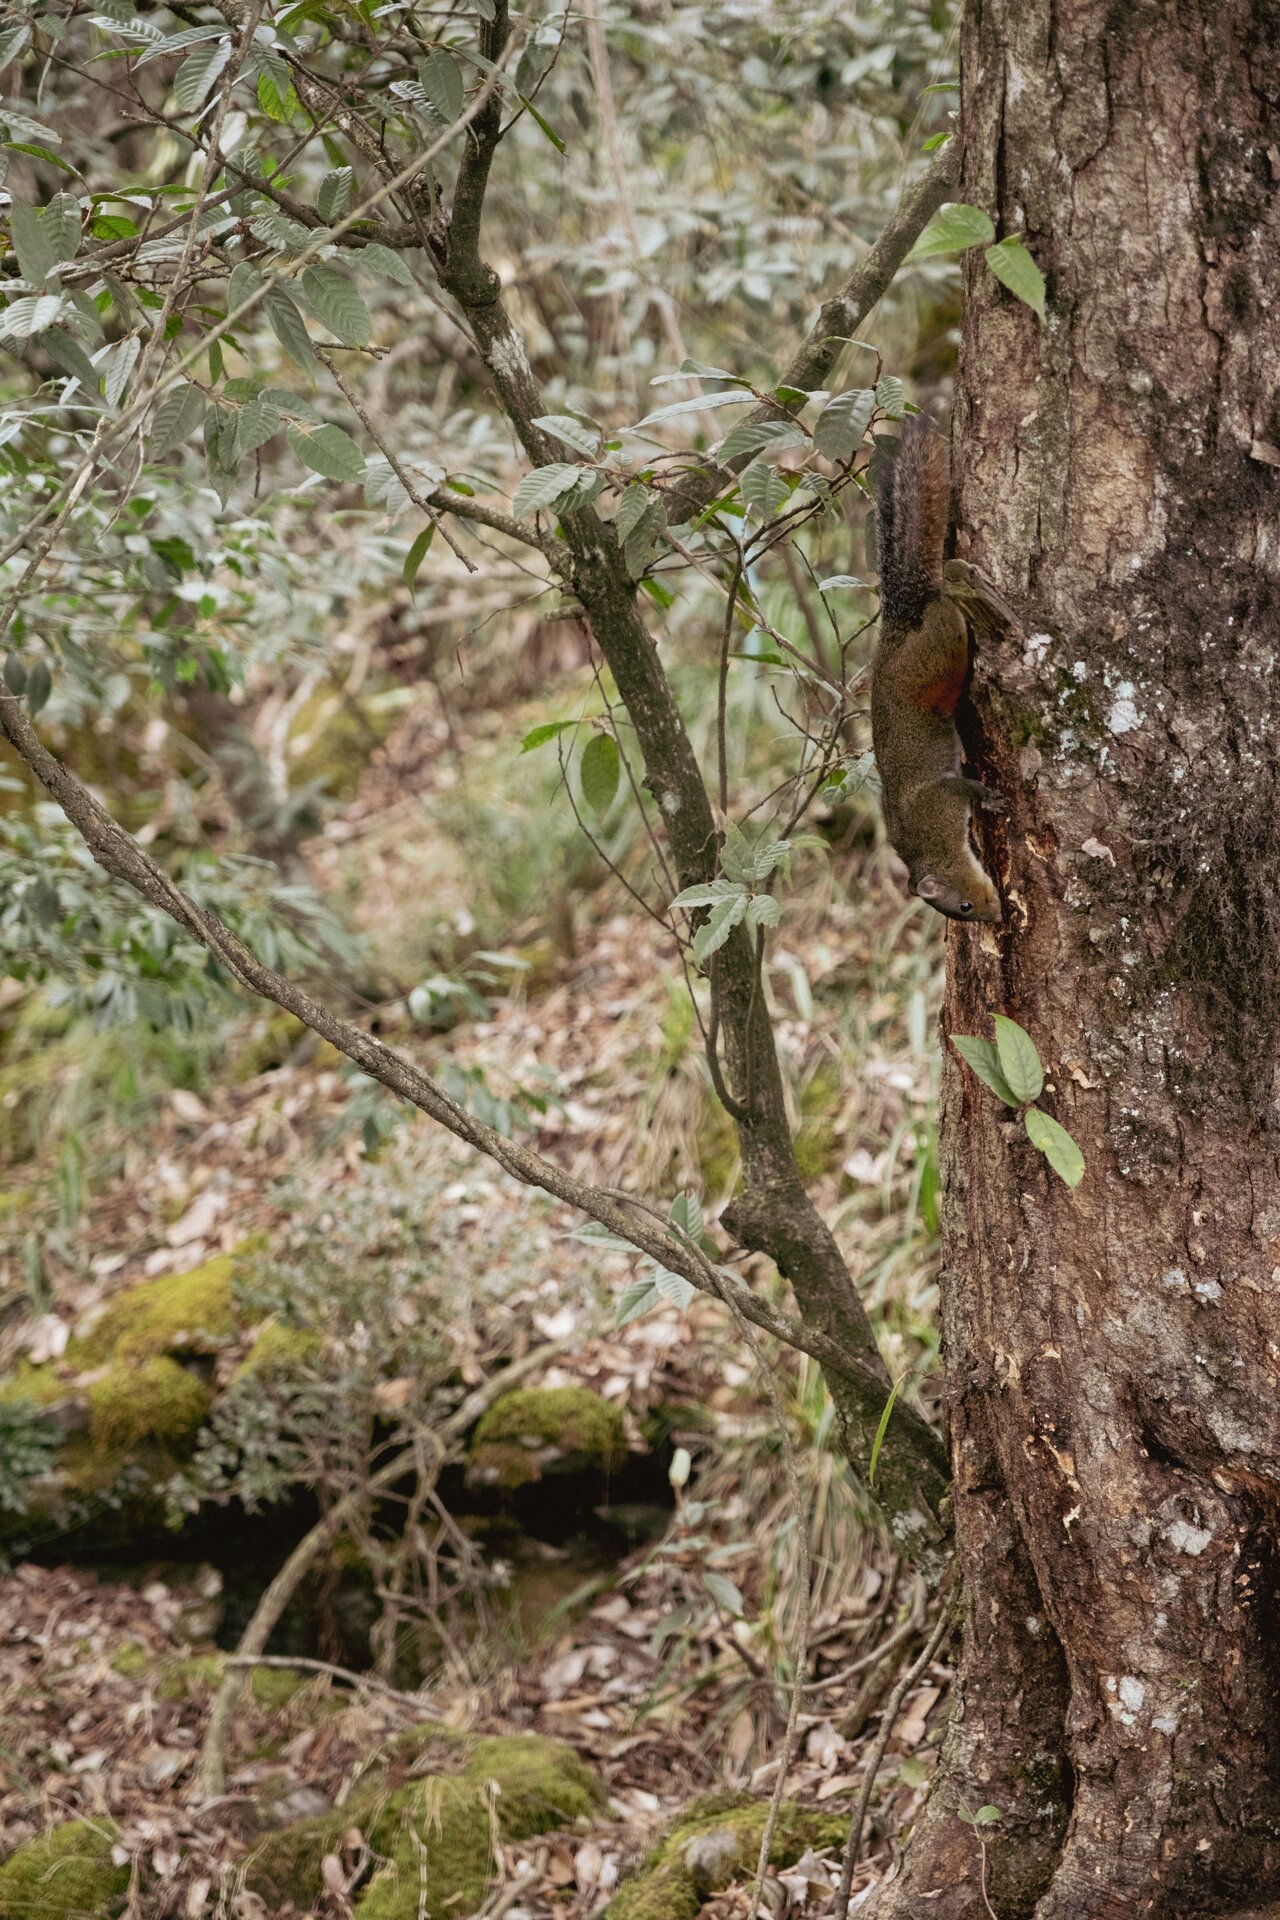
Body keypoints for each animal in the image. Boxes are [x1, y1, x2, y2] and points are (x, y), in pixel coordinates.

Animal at [870, 415, 1005, 923]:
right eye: (964, 908)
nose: (997, 916)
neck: (931, 847)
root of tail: (903, 622)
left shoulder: (941, 801)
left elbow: (966, 789)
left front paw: (990, 797)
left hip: (939, 651)